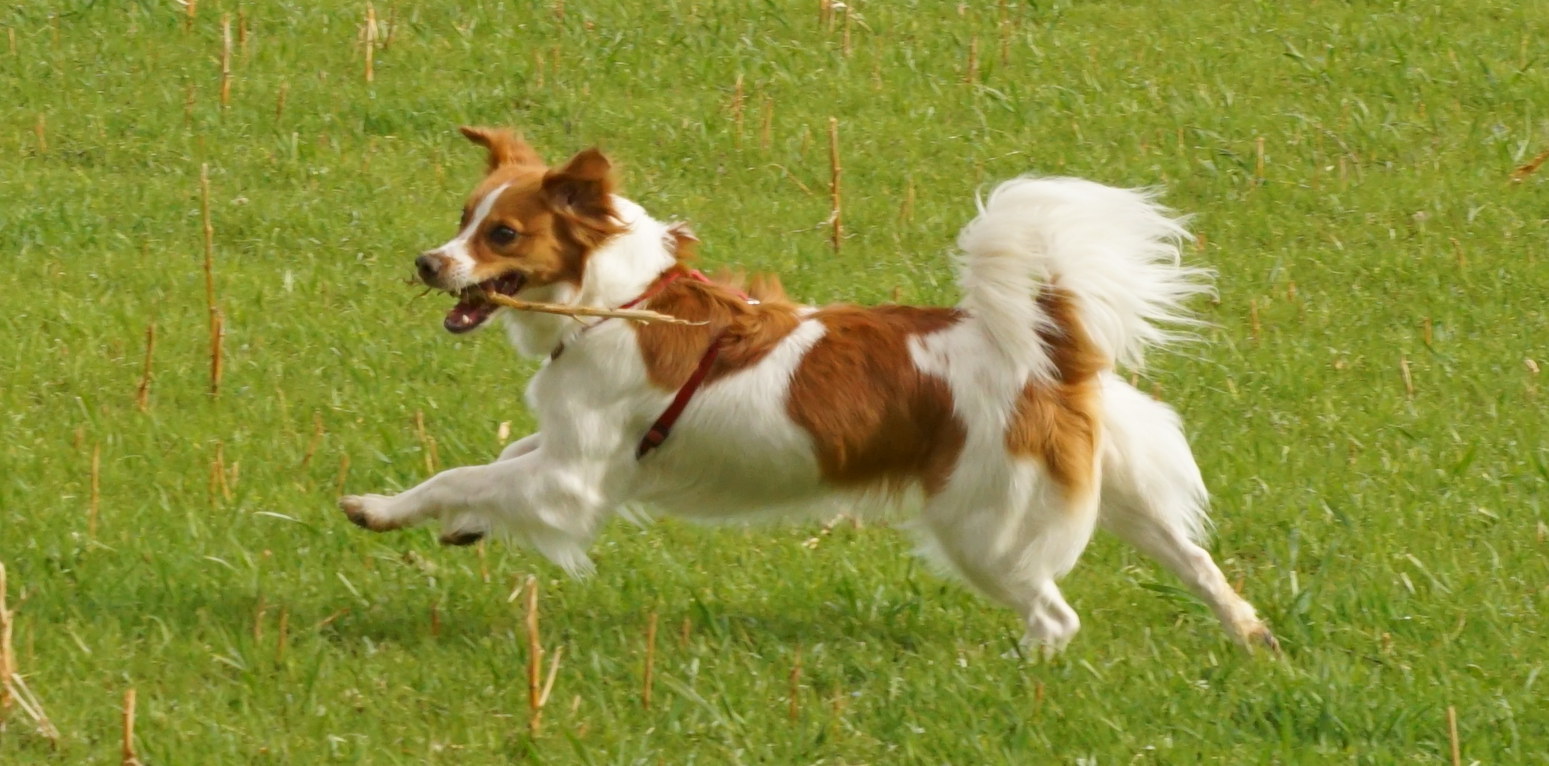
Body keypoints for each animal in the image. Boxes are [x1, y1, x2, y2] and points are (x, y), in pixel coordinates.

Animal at [339, 127, 1276, 651]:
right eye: (462, 218)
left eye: (500, 234)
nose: (426, 263)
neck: (621, 301)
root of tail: (1050, 350)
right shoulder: (575, 452)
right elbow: (496, 462)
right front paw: (459, 524)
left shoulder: (573, 476)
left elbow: (466, 474)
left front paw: (381, 508)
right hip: (1120, 492)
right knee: (1196, 562)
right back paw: (1250, 636)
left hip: (984, 530)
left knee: (1055, 618)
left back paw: (1022, 674)